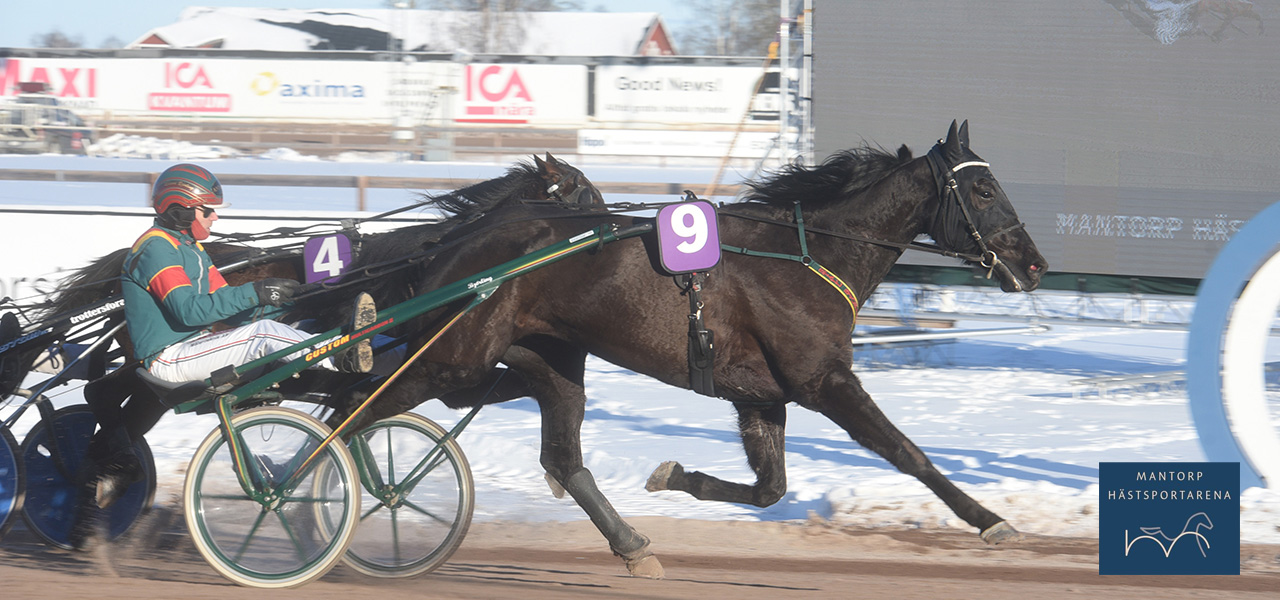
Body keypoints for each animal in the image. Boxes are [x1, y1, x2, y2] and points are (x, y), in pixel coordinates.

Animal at [309, 121, 1049, 575]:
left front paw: (672, 476)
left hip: (540, 360)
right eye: (983, 187)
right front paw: (990, 521)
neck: (803, 259)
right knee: (350, 407)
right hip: (450, 357)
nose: (1035, 264)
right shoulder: (823, 382)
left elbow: (770, 490)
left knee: (557, 454)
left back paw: (632, 546)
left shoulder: (763, 398)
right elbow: (906, 452)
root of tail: (462, 242)